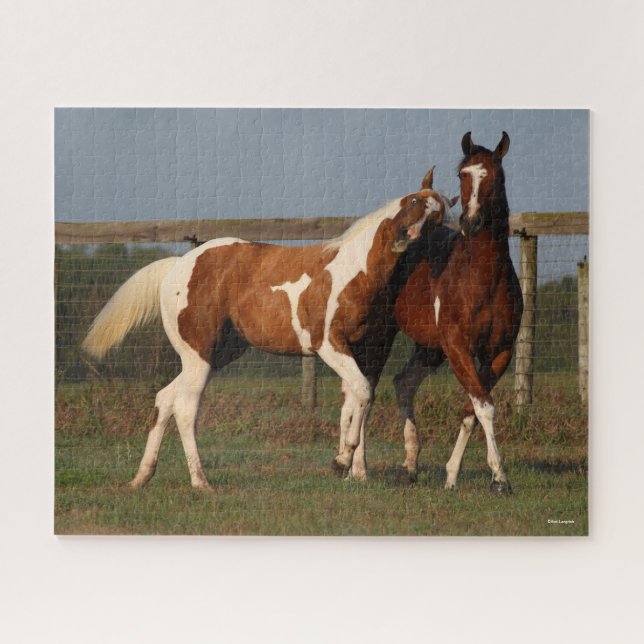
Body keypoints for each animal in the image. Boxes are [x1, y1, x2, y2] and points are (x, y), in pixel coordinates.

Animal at [82, 179, 451, 489]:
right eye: (413, 201)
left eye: (440, 217)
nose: (406, 238)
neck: (355, 273)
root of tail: (178, 266)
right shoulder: (328, 346)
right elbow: (360, 394)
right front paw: (341, 462)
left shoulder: (371, 352)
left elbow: (359, 400)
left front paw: (356, 472)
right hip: (198, 356)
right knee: (185, 408)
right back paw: (201, 483)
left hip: (215, 356)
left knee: (165, 398)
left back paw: (142, 477)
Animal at [393, 132, 524, 493]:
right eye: (462, 174)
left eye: (497, 176)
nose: (471, 221)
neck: (481, 279)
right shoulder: (457, 347)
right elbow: (484, 406)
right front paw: (501, 478)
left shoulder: (499, 353)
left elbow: (472, 410)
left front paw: (453, 475)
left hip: (429, 348)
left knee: (403, 382)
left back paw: (409, 466)